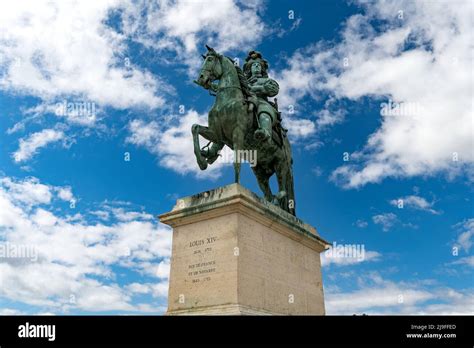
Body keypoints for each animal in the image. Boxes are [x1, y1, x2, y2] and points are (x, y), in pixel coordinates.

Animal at [191, 45, 294, 216]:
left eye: (210, 59)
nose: (201, 78)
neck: (227, 100)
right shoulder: (218, 136)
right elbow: (195, 128)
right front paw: (202, 161)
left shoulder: (237, 133)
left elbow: (236, 162)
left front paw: (236, 185)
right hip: (259, 171)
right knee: (268, 192)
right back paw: (270, 202)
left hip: (281, 164)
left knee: (283, 190)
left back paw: (277, 199)